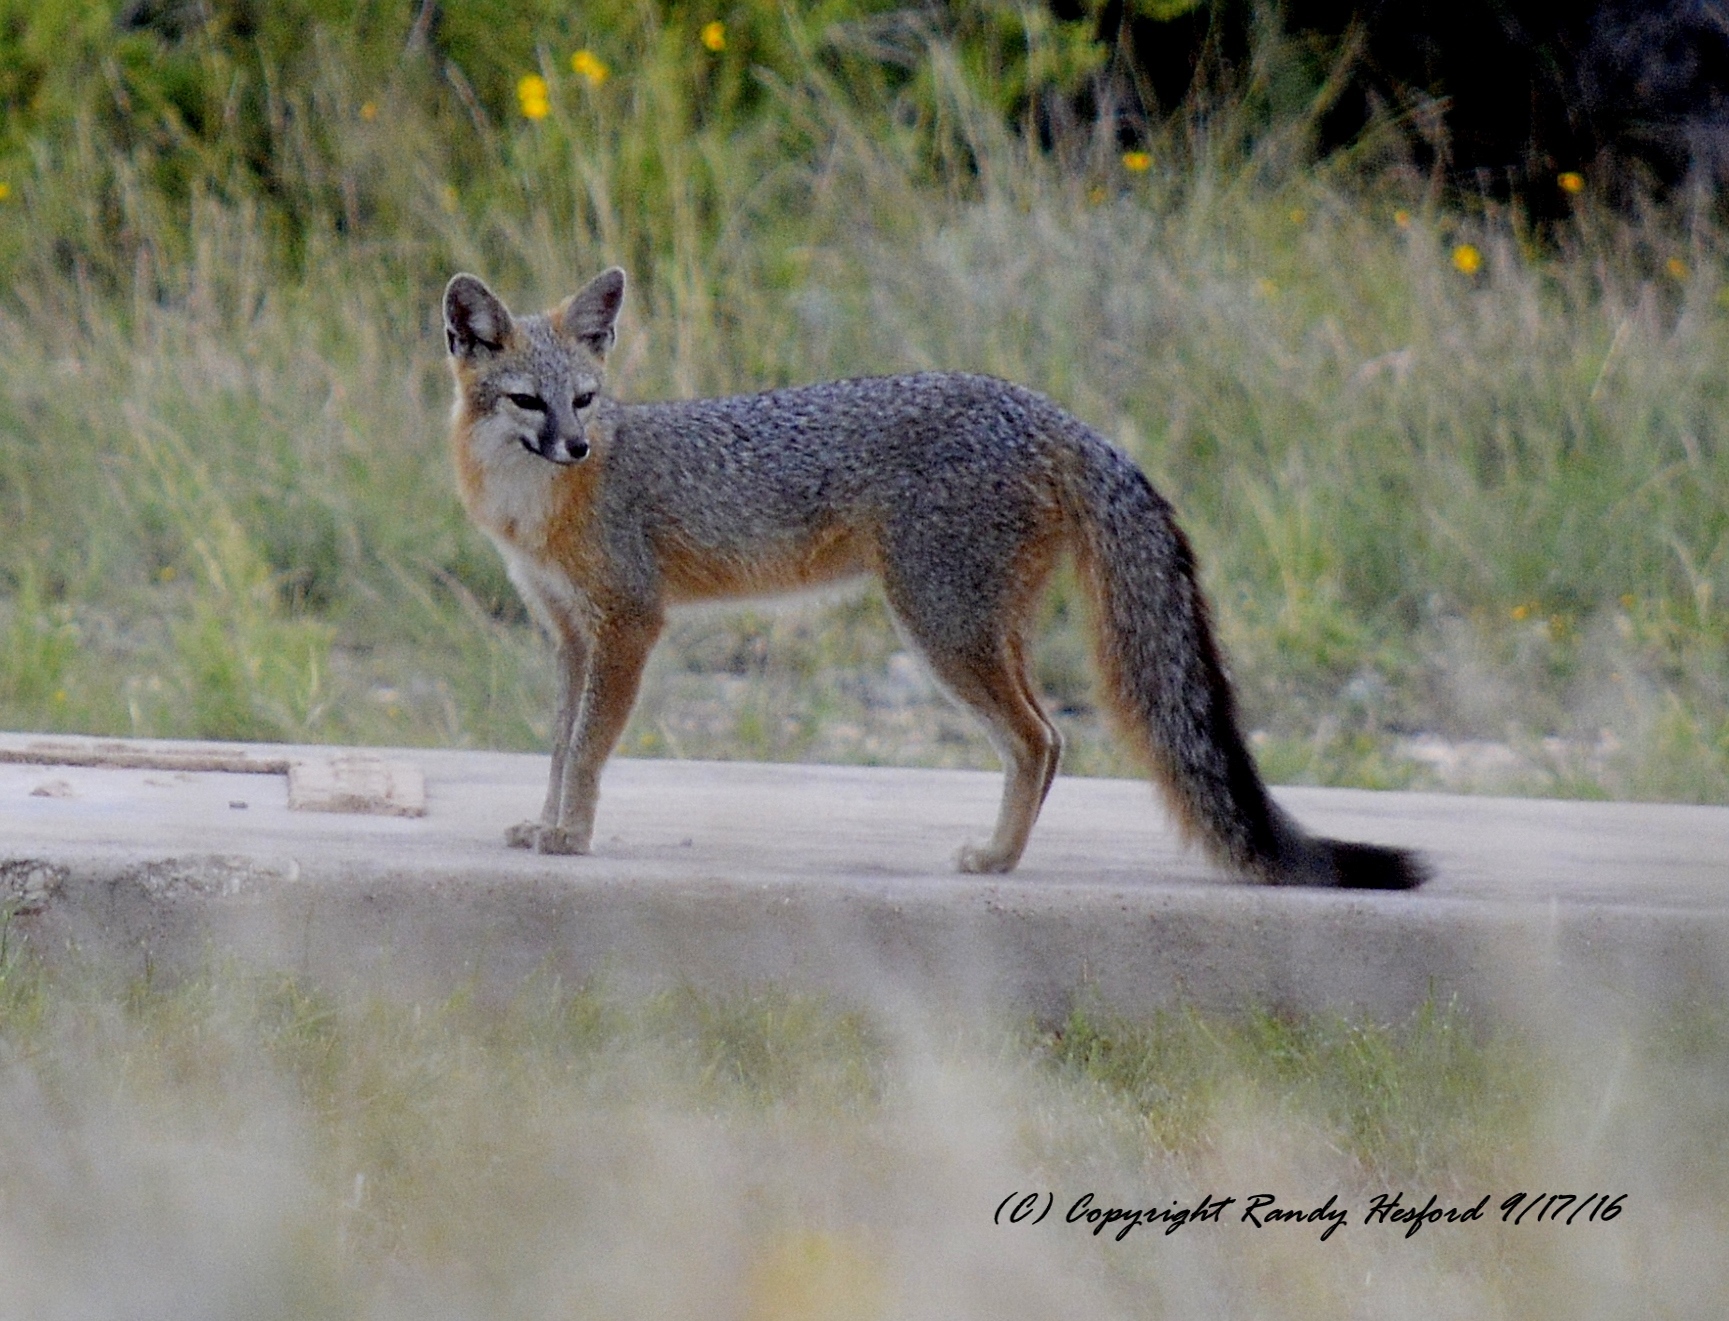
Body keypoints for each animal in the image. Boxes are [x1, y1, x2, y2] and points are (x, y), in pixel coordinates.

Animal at [442, 267, 1426, 889]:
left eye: (586, 399)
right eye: (529, 400)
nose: (574, 445)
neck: (536, 509)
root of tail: (1049, 410)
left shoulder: (630, 624)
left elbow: (587, 749)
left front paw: (571, 837)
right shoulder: (570, 636)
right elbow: (559, 744)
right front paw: (544, 824)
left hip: (940, 625)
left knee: (1040, 739)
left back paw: (995, 862)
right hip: (984, 624)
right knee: (1046, 742)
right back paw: (1004, 855)